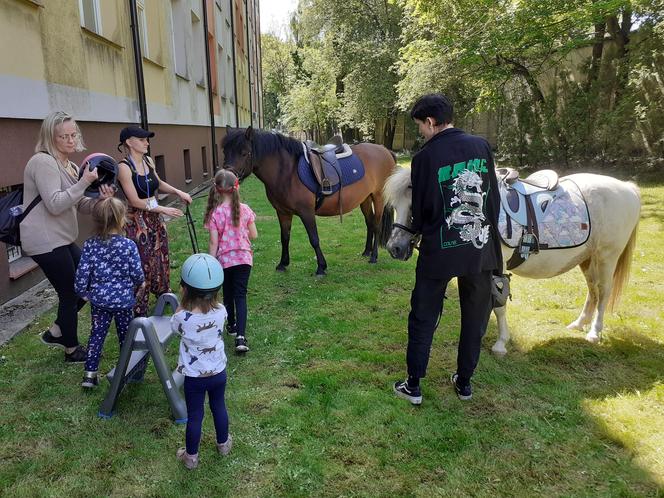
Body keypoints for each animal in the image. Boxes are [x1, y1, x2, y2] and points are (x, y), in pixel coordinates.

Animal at [223, 128, 396, 274]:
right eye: (224, 150)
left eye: (245, 153)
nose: (226, 179)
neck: (287, 172)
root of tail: (385, 150)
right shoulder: (283, 212)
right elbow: (285, 237)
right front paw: (283, 264)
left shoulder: (306, 212)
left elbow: (314, 239)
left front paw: (321, 267)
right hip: (365, 199)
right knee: (369, 223)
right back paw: (366, 252)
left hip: (378, 197)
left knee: (376, 225)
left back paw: (373, 256)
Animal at [382, 167, 640, 354]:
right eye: (394, 206)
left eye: (416, 207)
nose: (395, 248)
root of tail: (628, 189)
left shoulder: (496, 269)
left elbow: (498, 306)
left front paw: (500, 343)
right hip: (587, 258)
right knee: (592, 290)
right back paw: (579, 323)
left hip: (607, 256)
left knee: (604, 292)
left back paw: (594, 332)